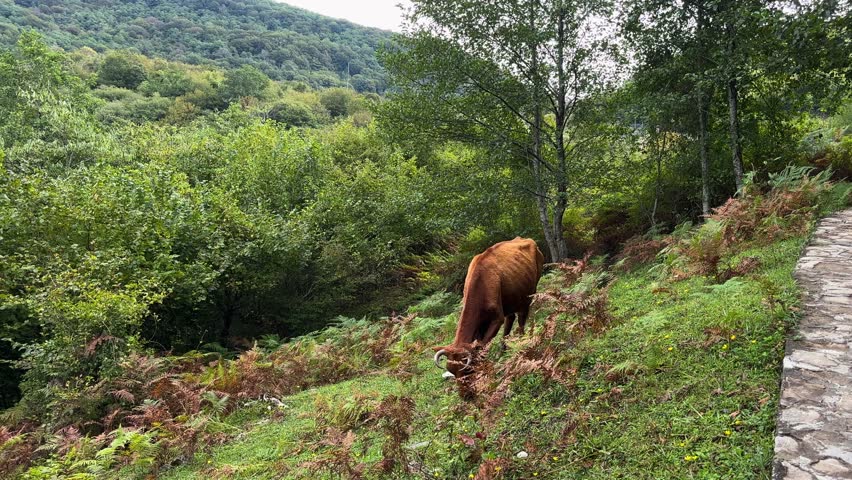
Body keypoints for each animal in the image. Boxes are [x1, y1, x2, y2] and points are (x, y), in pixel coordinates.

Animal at [433, 237, 544, 378]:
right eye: (452, 371)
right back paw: (503, 351)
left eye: (466, 370)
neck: (481, 282)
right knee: (510, 319)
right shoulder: (481, 322)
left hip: (529, 294)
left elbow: (482, 346)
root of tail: (527, 239)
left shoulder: (496, 319)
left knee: (522, 319)